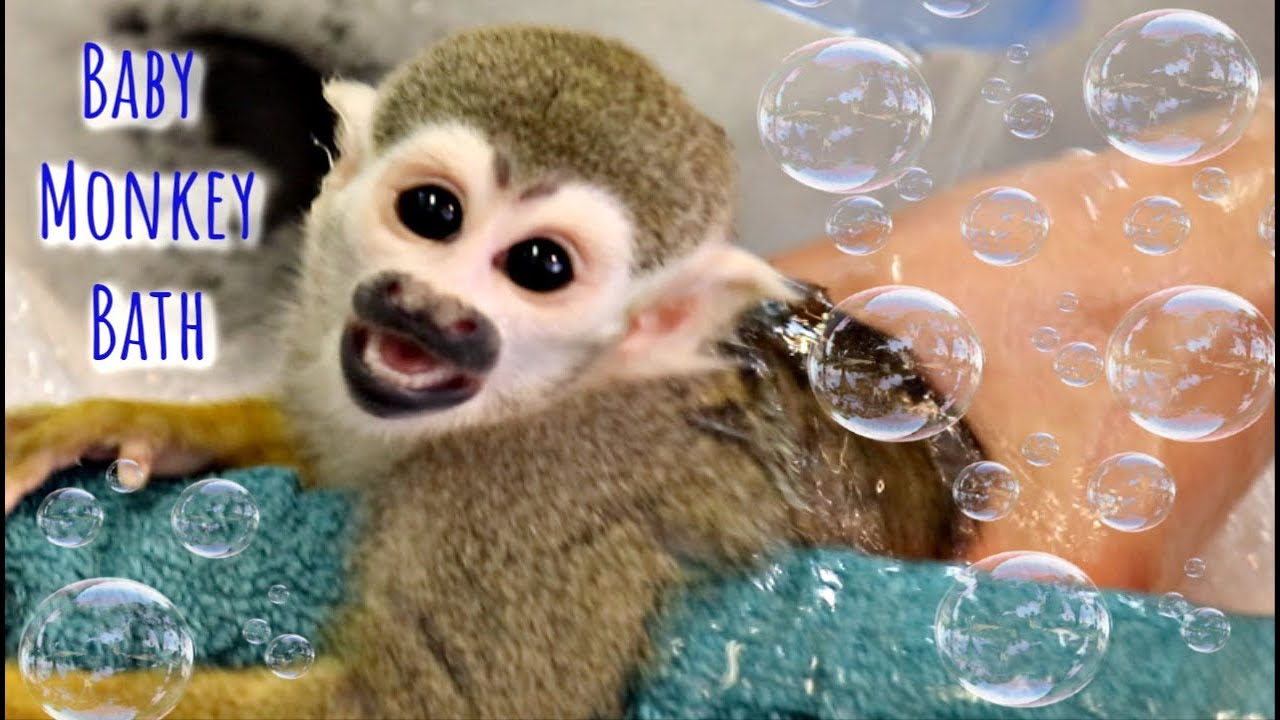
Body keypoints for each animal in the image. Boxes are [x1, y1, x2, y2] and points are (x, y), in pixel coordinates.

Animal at [5, 26, 982, 719]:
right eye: (432, 212)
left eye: (540, 267)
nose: (431, 308)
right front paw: (142, 423)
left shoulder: (529, 486)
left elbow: (434, 706)